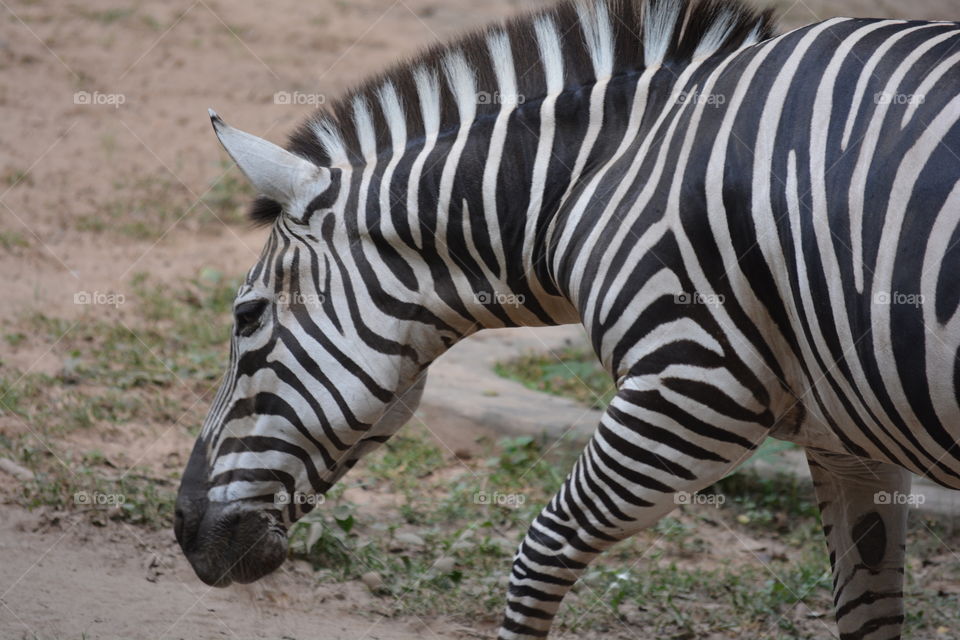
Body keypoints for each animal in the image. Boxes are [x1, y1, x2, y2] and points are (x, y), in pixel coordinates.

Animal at [174, 0, 960, 637]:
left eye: (248, 317)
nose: (181, 529)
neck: (599, 180)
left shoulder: (693, 388)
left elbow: (540, 554)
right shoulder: (848, 442)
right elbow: (866, 608)